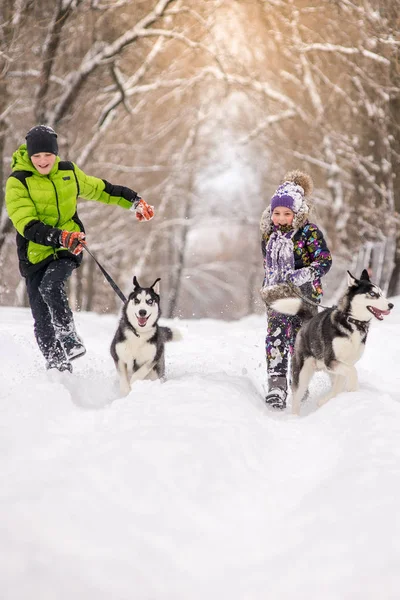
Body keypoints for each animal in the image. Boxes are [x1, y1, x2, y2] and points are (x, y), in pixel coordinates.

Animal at [270, 270, 392, 414]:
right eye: (373, 294)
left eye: (382, 293)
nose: (391, 305)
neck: (353, 322)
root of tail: (307, 322)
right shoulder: (331, 360)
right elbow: (353, 371)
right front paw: (353, 389)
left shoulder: (344, 363)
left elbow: (340, 383)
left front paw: (328, 400)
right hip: (303, 373)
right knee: (297, 397)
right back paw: (295, 416)